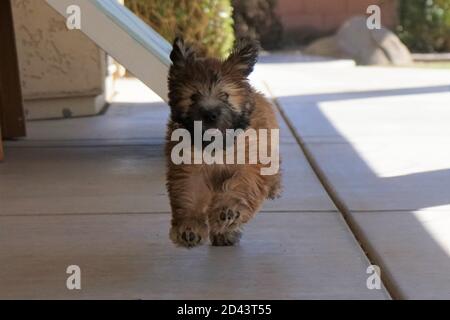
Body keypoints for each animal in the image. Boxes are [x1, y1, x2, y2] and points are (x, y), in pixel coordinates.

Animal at [167, 37, 282, 248]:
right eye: (193, 96)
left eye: (225, 95)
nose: (210, 114)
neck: (216, 144)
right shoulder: (189, 169)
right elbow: (189, 194)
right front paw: (188, 229)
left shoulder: (249, 163)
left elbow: (239, 186)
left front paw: (228, 210)